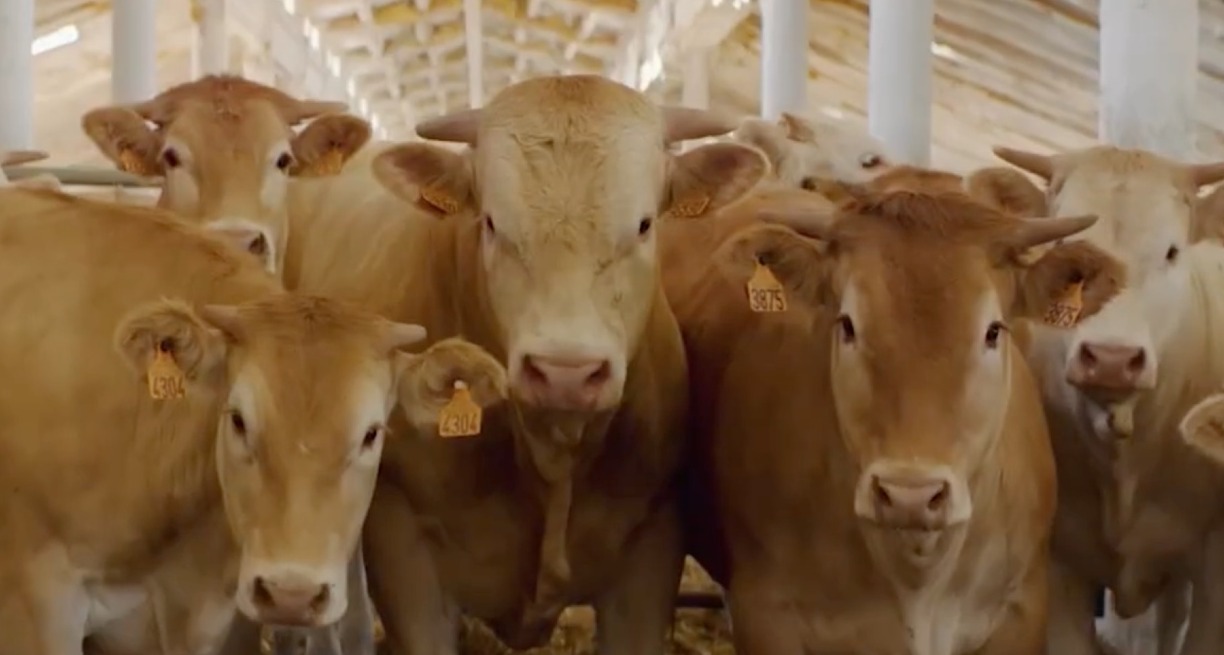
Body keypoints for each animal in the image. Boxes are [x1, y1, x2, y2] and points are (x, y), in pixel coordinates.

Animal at [269, 74, 770, 654]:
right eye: (491, 223)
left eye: (645, 225)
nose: (565, 372)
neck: (551, 454)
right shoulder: (406, 557)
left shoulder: (649, 558)